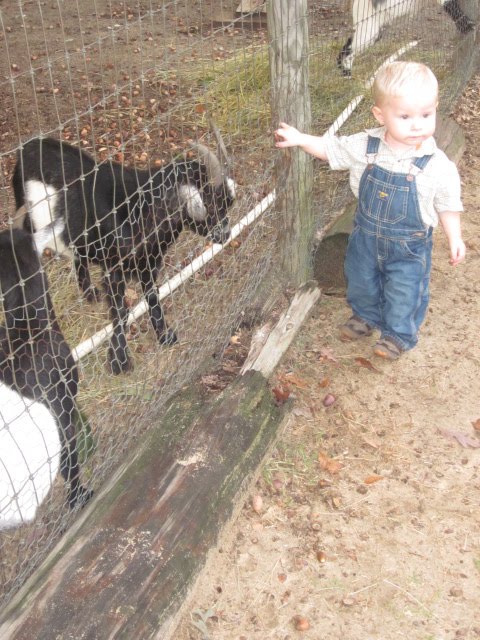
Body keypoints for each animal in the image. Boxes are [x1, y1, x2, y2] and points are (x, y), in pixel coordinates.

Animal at [12, 137, 235, 375]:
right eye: (209, 202)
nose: (225, 234)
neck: (139, 209)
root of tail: (28, 146)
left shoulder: (149, 262)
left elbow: (152, 296)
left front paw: (165, 335)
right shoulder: (114, 267)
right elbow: (121, 311)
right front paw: (119, 361)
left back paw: (89, 292)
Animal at [338, 0, 475, 75]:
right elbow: (450, 5)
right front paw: (468, 26)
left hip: (373, 29)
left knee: (350, 42)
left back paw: (343, 71)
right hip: (368, 28)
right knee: (349, 50)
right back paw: (346, 72)